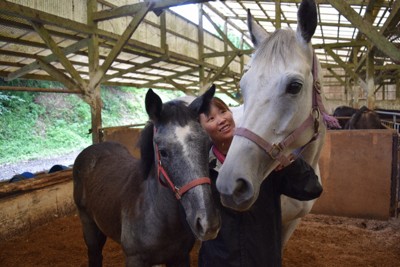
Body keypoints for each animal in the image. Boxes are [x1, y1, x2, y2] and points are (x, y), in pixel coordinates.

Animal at [73, 87, 220, 266]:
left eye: (208, 145)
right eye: (163, 152)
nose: (207, 224)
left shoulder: (181, 256)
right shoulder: (134, 259)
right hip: (89, 225)